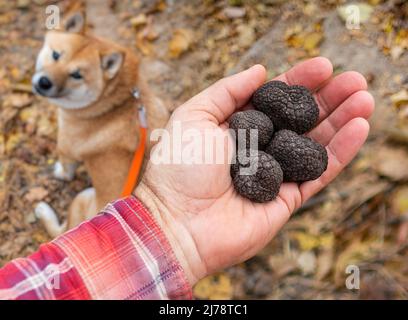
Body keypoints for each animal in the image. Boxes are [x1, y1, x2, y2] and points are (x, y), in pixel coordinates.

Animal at [32, 7, 171, 238]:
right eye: (56, 55)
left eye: (76, 75)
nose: (44, 82)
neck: (115, 101)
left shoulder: (67, 150)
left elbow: (66, 170)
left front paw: (58, 172)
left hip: (81, 198)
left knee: (60, 230)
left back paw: (44, 211)